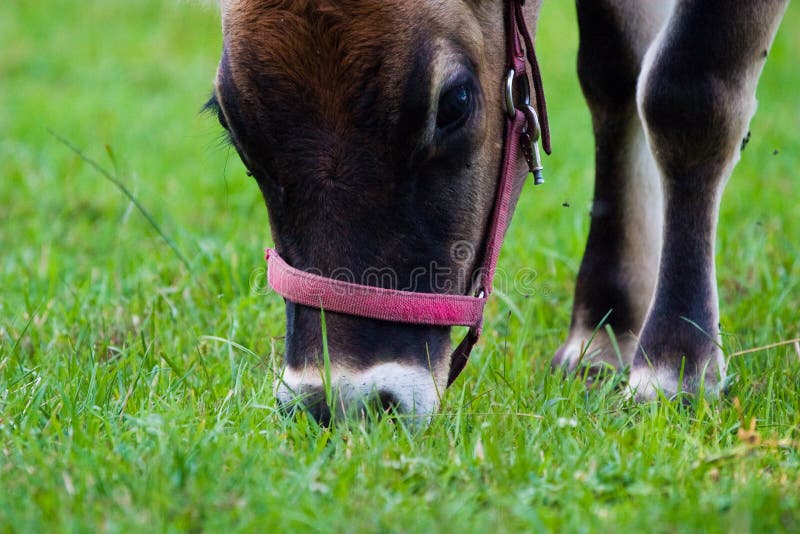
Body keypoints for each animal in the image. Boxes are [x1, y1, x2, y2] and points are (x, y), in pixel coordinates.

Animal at [206, 0, 788, 422]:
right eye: (229, 123)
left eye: (454, 104)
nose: (339, 403)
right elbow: (615, 71)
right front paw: (604, 330)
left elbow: (686, 93)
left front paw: (675, 362)